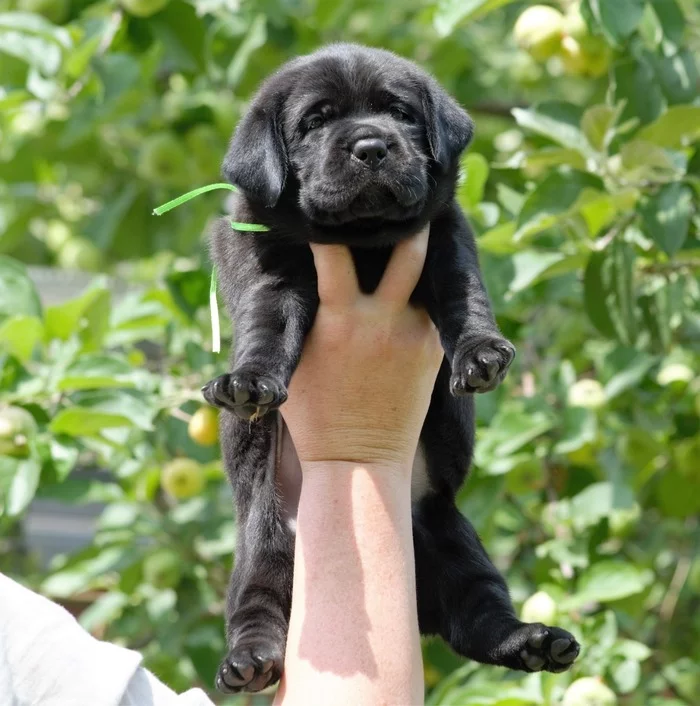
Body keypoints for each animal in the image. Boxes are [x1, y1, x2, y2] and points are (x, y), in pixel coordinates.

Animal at [202, 41, 580, 692]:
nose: (372, 146)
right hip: (266, 544)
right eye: (314, 122)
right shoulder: (270, 264)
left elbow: (463, 294)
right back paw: (249, 661)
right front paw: (249, 380)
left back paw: (535, 642)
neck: (364, 241)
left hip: (449, 534)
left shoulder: (445, 239)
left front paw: (481, 353)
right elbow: (267, 323)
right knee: (259, 606)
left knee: (479, 614)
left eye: (400, 113)